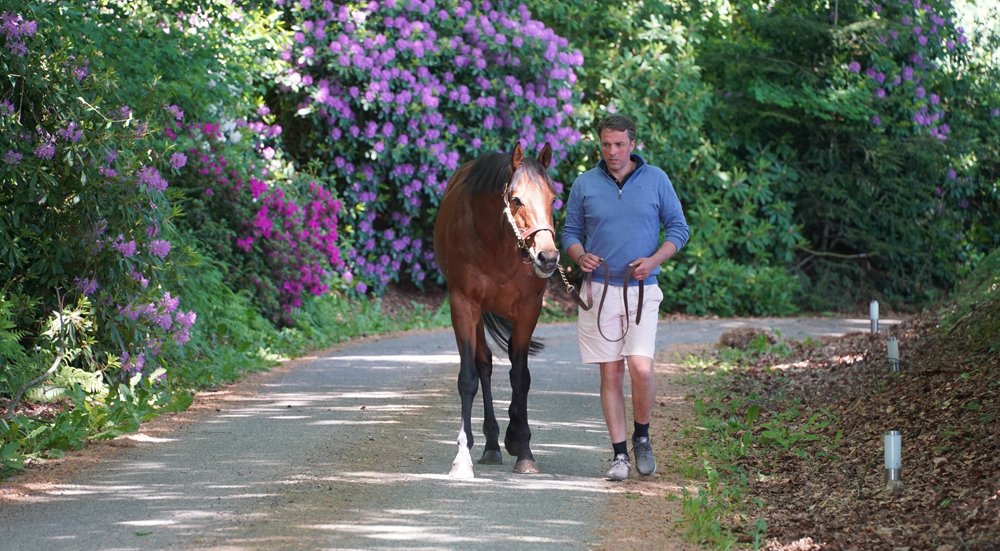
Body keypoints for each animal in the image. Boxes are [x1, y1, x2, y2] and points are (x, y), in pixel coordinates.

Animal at [433, 142, 559, 478]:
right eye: (516, 200)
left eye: (553, 198)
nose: (547, 257)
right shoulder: (463, 304)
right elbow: (469, 377)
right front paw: (462, 457)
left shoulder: (529, 308)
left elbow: (521, 377)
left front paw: (524, 449)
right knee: (484, 365)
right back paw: (490, 444)